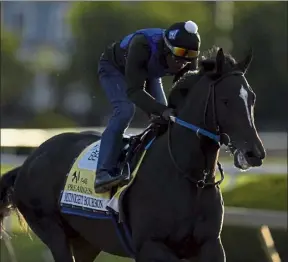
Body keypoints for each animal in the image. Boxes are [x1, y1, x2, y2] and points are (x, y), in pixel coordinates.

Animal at [0, 47, 266, 262]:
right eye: (226, 100)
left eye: (252, 98)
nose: (255, 152)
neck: (188, 177)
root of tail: (27, 163)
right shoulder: (150, 246)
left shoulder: (211, 245)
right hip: (53, 231)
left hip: (86, 242)